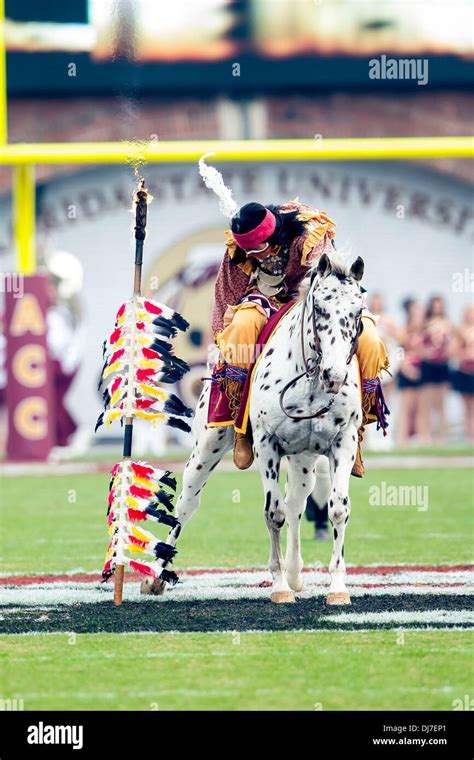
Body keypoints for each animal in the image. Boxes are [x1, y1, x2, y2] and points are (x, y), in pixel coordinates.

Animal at [144, 255, 366, 604]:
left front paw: (337, 587)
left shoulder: (342, 442)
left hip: (304, 461)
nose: (334, 375)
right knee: (187, 504)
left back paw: (296, 573)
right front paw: (279, 585)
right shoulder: (267, 444)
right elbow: (272, 513)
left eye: (358, 311)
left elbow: (338, 509)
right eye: (319, 308)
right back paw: (157, 575)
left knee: (296, 502)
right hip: (207, 446)